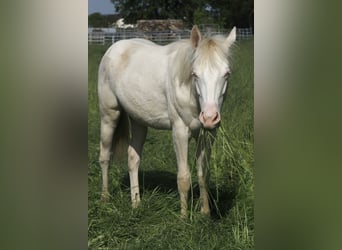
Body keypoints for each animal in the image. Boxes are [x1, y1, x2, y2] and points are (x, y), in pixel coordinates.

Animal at [97, 25, 235, 217]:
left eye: (227, 74)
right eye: (195, 74)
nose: (209, 117)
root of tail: (114, 47)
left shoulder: (208, 134)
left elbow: (203, 173)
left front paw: (205, 212)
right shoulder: (180, 132)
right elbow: (183, 177)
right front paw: (184, 217)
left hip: (139, 121)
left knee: (133, 158)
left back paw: (136, 204)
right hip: (109, 116)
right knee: (104, 156)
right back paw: (105, 198)